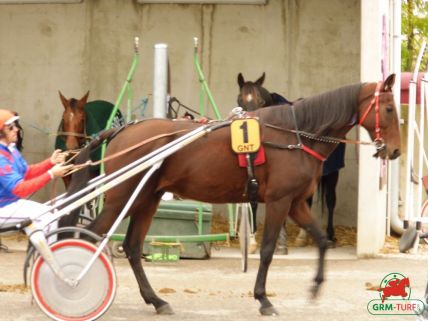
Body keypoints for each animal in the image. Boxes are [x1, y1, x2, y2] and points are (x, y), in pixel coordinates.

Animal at [239, 72, 346, 248]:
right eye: (240, 100)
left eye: (261, 102)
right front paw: (253, 240)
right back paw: (303, 236)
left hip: (332, 173)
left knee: (331, 200)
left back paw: (330, 236)